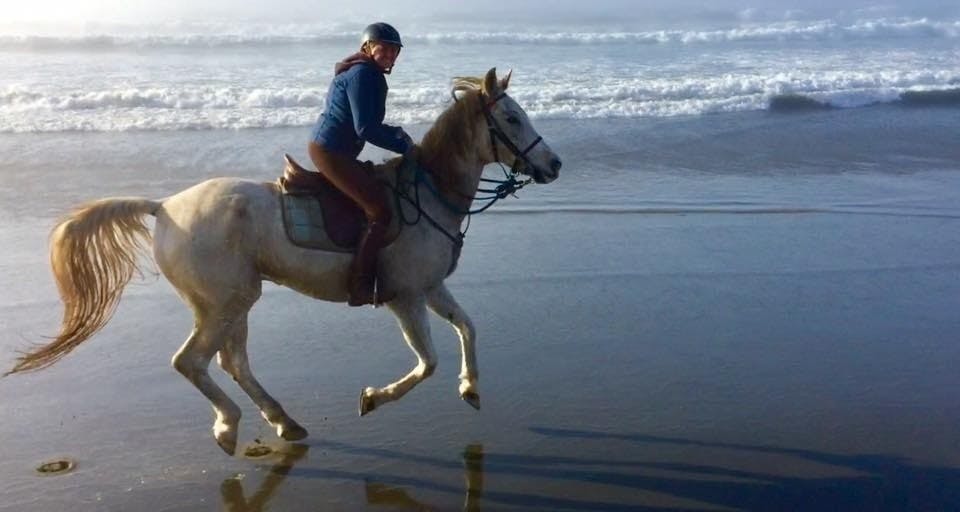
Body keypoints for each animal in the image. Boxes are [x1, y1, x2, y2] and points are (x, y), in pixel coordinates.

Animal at [5, 69, 564, 456]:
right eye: (511, 118)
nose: (555, 164)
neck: (430, 193)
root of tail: (164, 207)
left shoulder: (430, 288)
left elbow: (468, 327)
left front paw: (471, 387)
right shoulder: (405, 297)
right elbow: (427, 362)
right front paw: (373, 398)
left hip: (233, 301)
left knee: (231, 363)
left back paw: (283, 422)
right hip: (225, 302)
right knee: (192, 362)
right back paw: (229, 425)